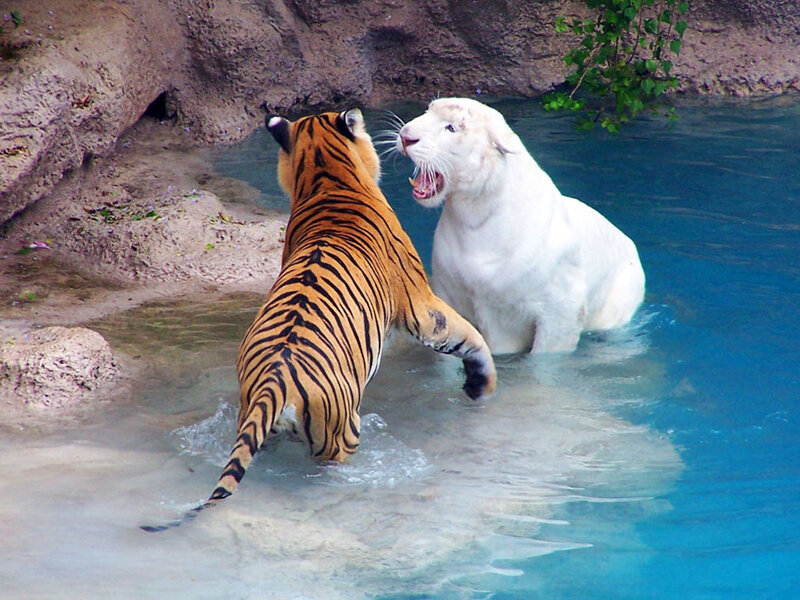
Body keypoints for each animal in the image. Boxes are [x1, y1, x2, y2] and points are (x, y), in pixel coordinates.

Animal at [142, 108, 496, 532]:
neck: (326, 177)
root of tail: (272, 384)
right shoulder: (419, 305)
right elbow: (468, 336)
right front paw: (481, 385)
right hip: (342, 431)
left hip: (254, 418)